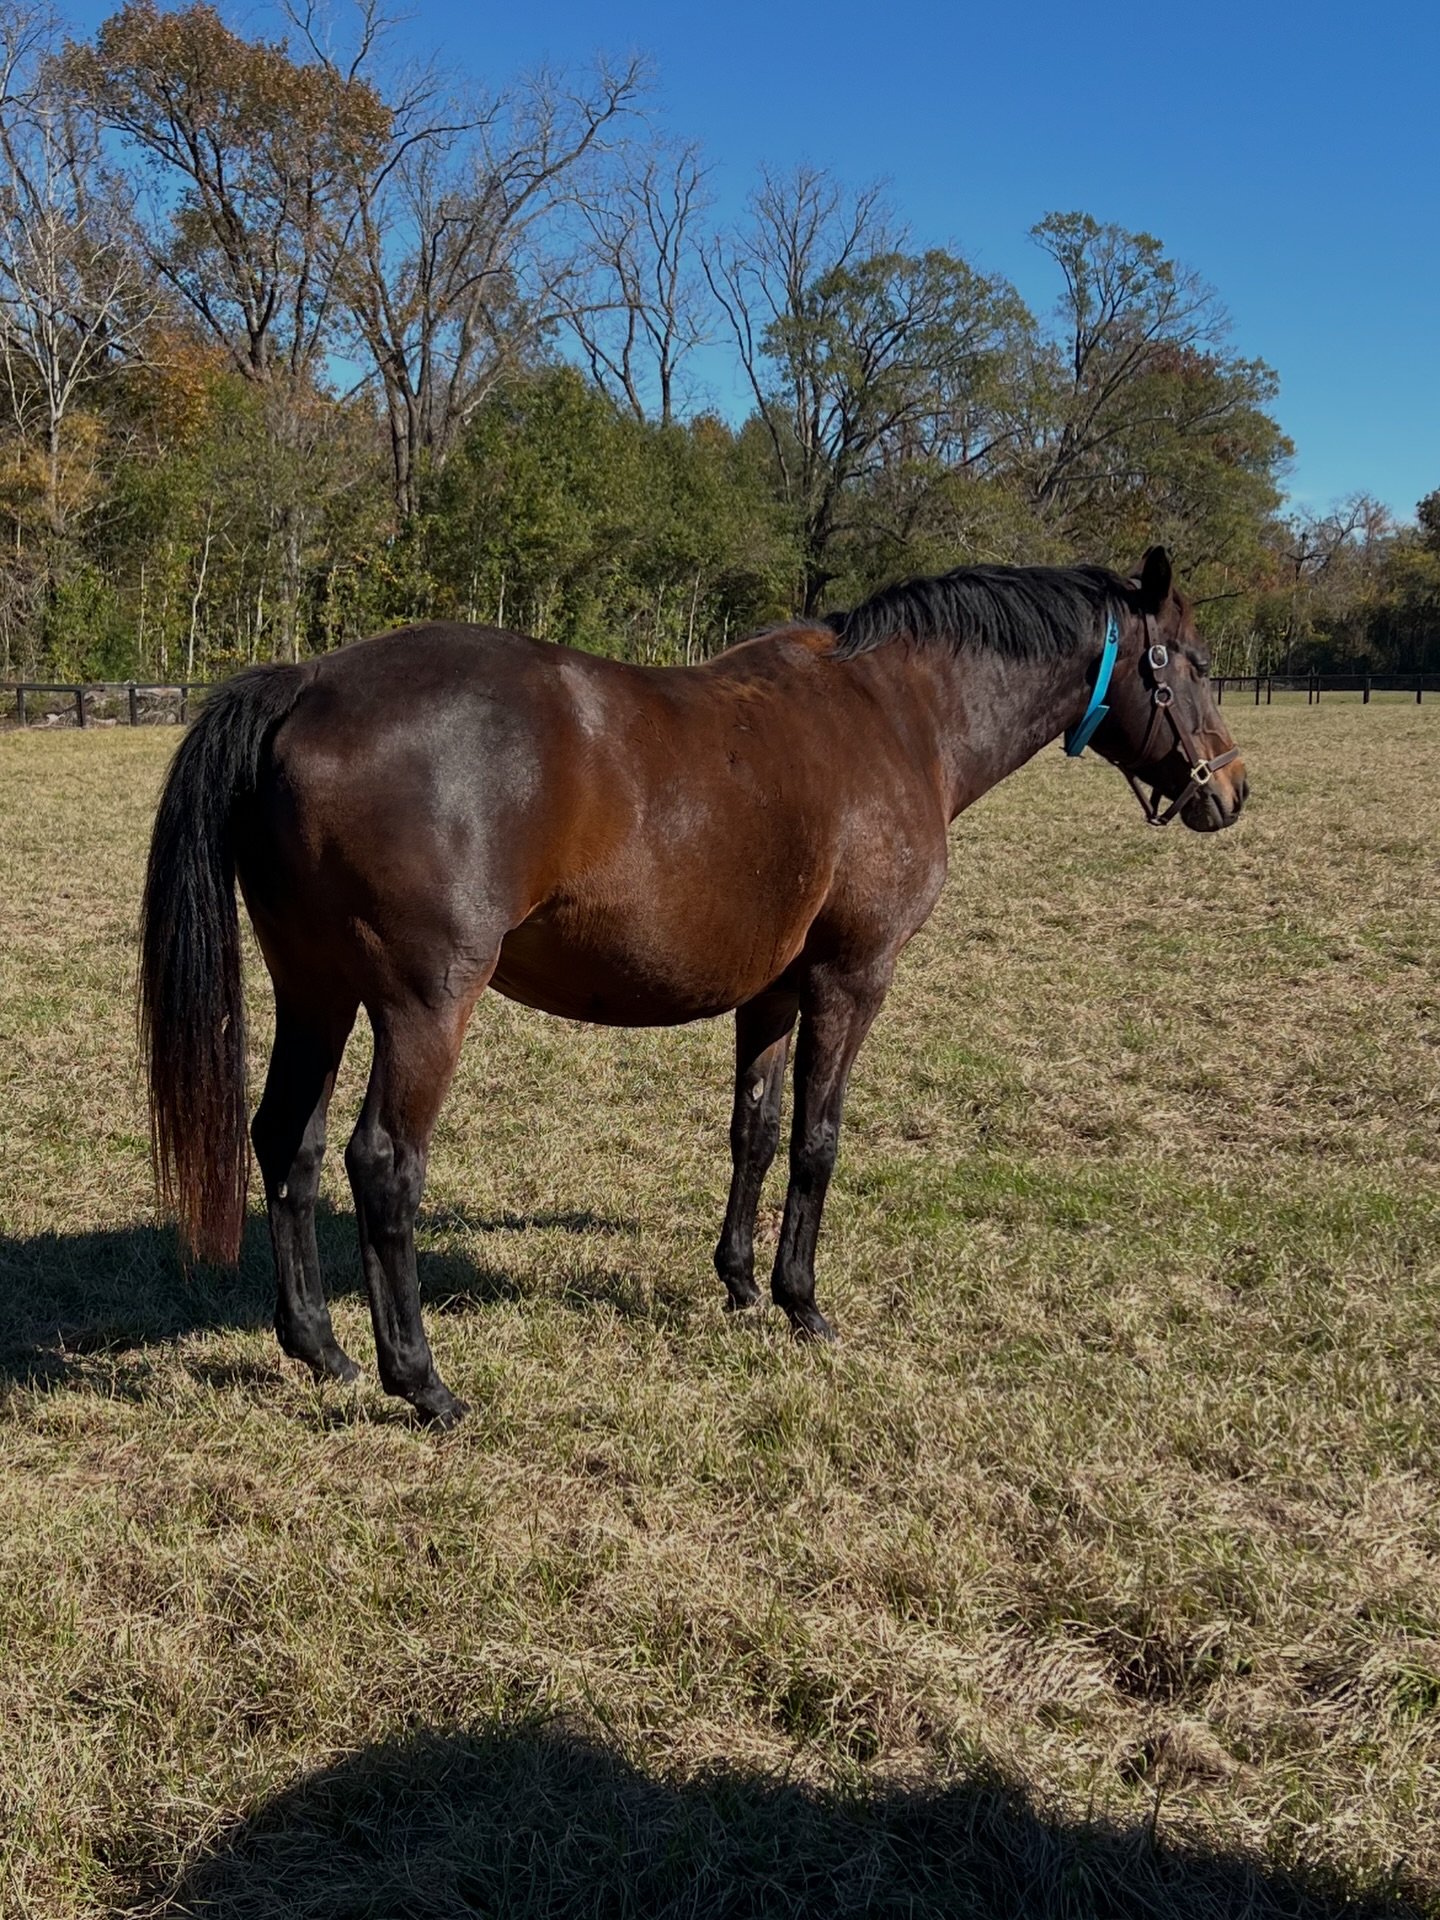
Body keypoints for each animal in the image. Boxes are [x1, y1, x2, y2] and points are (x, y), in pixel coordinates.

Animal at [140, 546, 1246, 1426]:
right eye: (1193, 663)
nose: (1230, 789)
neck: (897, 716)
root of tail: (306, 684)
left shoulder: (775, 990)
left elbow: (754, 1129)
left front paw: (742, 1285)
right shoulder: (852, 977)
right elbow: (817, 1139)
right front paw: (802, 1301)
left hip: (315, 992)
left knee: (289, 1141)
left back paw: (319, 1348)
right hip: (423, 1005)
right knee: (382, 1164)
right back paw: (421, 1382)